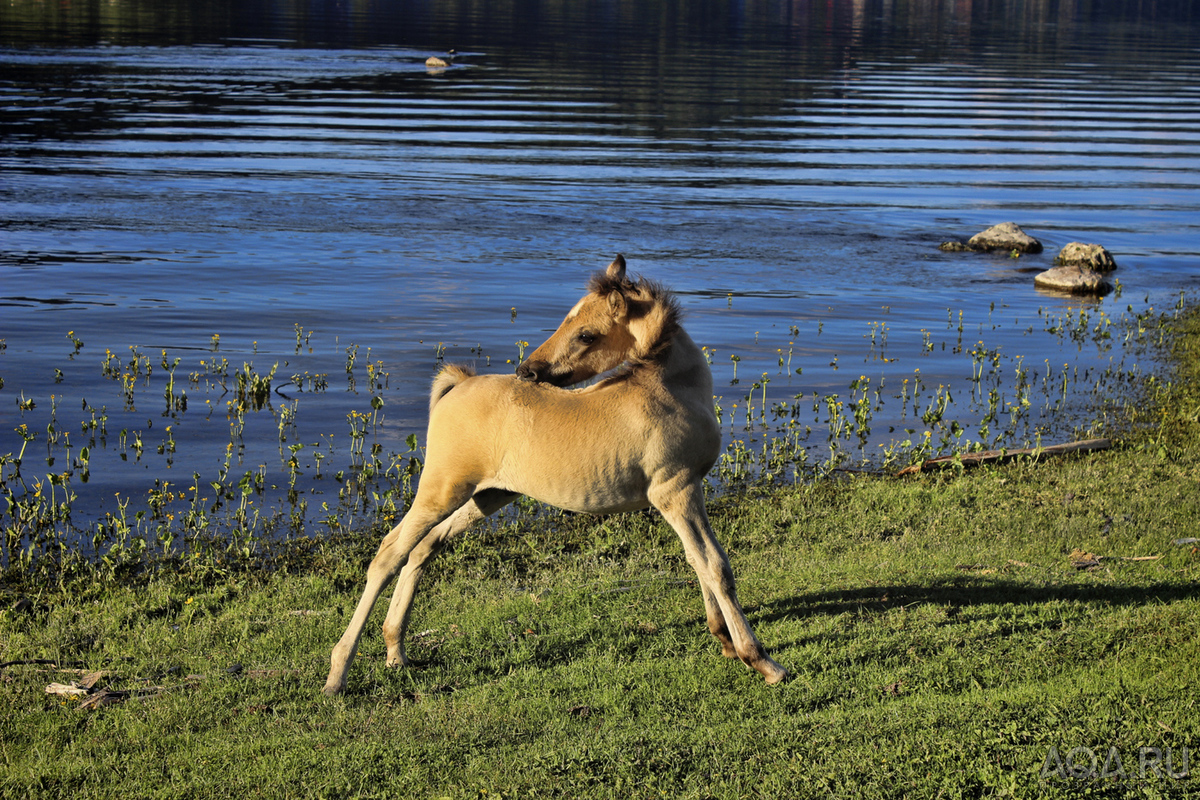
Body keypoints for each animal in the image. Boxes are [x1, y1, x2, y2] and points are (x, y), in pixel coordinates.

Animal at [321, 256, 787, 695]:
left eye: (586, 334)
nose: (528, 370)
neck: (671, 391)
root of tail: (459, 383)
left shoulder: (685, 494)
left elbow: (696, 560)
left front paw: (725, 642)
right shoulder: (675, 492)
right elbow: (715, 566)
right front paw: (760, 660)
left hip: (487, 496)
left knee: (423, 548)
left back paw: (395, 650)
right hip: (443, 491)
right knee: (388, 555)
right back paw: (338, 673)